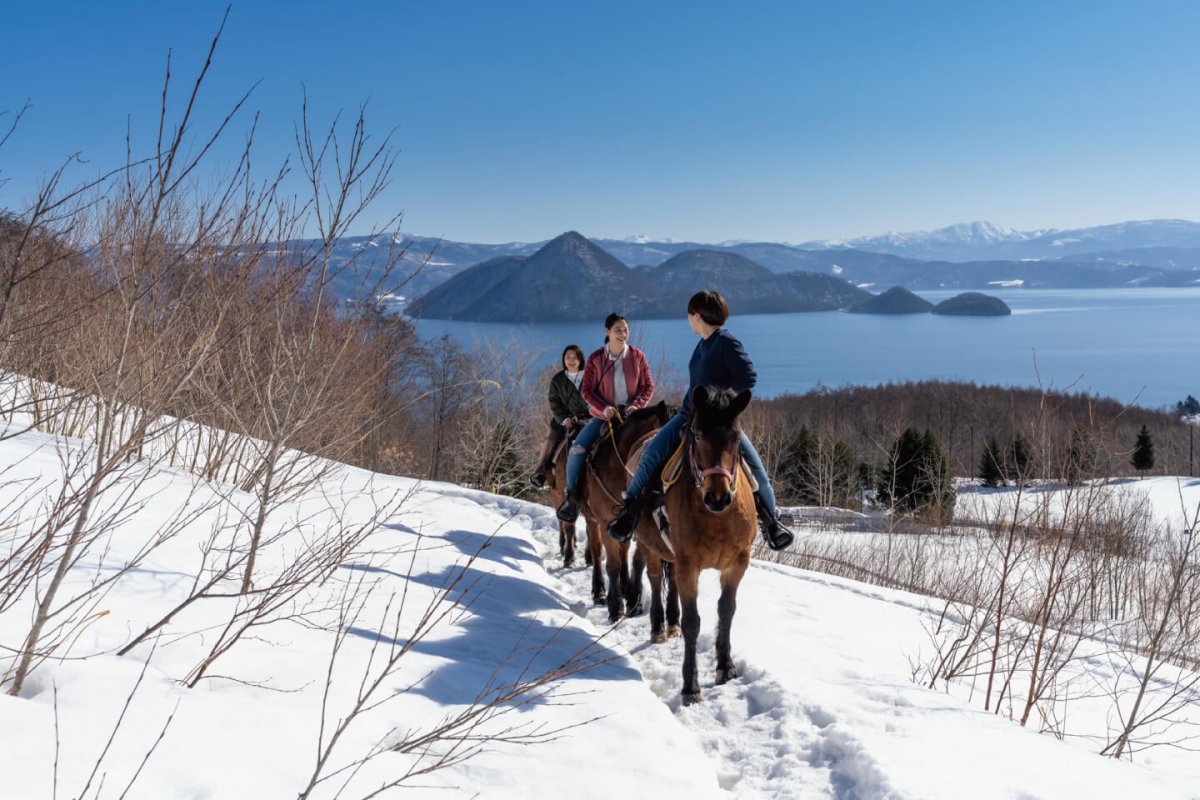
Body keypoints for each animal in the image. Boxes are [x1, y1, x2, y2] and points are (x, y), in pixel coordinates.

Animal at [577, 401, 674, 623]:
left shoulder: (641, 528)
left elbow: (638, 562)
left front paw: (634, 601)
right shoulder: (606, 521)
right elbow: (612, 565)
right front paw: (616, 608)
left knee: (623, 551)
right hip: (592, 519)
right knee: (597, 551)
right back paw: (600, 592)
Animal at [632, 386, 756, 705]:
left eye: (736, 438)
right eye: (697, 435)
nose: (718, 497)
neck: (717, 517)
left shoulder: (737, 564)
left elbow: (726, 610)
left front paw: (725, 667)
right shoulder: (689, 565)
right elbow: (692, 622)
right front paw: (691, 686)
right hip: (650, 546)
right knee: (653, 579)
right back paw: (658, 628)